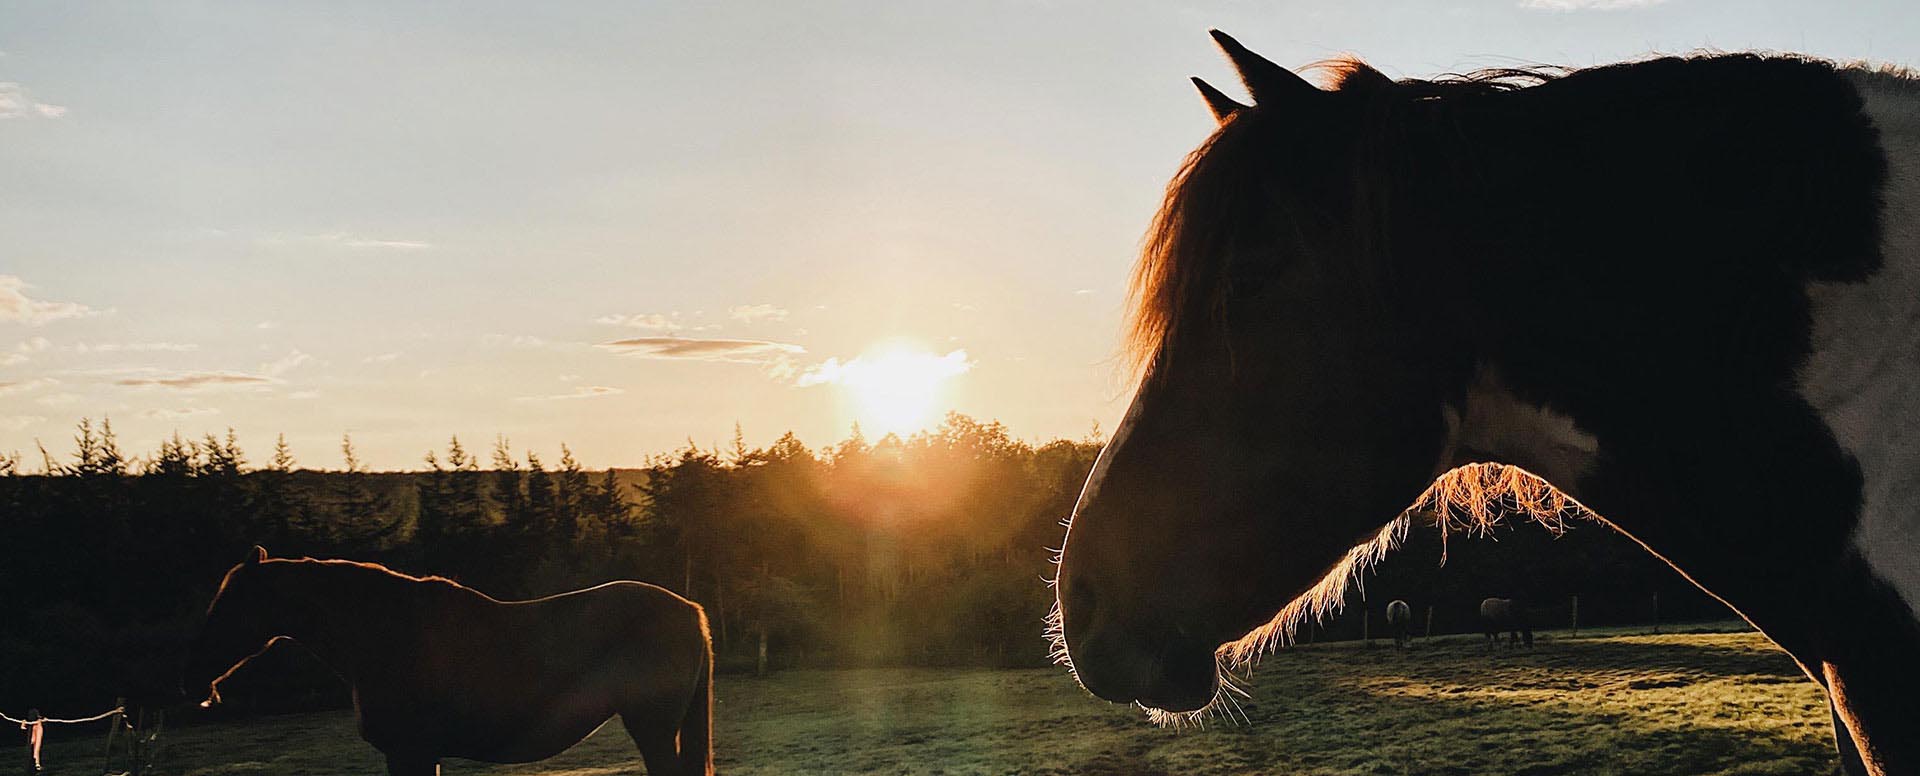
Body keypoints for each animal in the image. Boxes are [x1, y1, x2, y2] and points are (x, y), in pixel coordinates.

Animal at [181, 545, 714, 776]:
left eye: (229, 605)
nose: (193, 678)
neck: (383, 634)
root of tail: (690, 609)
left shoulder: (410, 751)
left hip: (652, 728)